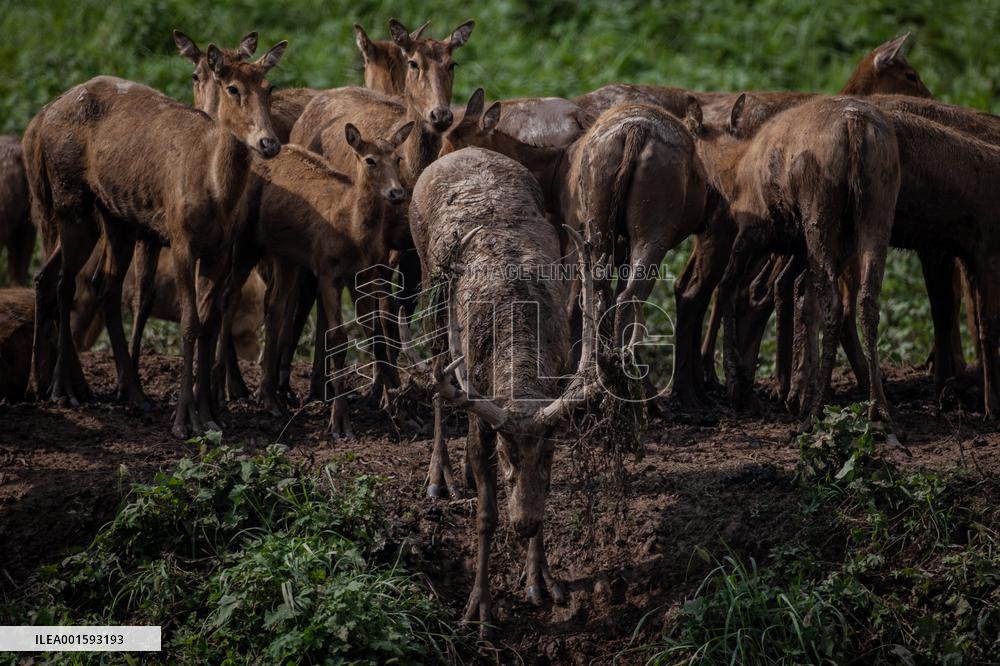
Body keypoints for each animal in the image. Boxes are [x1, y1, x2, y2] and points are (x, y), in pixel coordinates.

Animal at [24, 39, 286, 438]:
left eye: (269, 88)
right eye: (233, 88)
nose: (269, 143)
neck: (217, 190)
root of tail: (43, 115)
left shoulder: (218, 251)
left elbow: (208, 323)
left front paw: (211, 414)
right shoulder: (180, 241)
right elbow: (189, 322)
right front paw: (184, 419)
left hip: (115, 220)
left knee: (96, 284)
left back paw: (125, 393)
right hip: (71, 205)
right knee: (65, 283)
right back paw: (64, 389)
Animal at [399, 146, 600, 632]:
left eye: (546, 454)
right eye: (508, 453)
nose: (523, 524)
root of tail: (462, 149)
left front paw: (540, 580)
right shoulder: (480, 412)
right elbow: (486, 515)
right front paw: (480, 607)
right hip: (431, 293)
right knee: (437, 376)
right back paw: (440, 477)